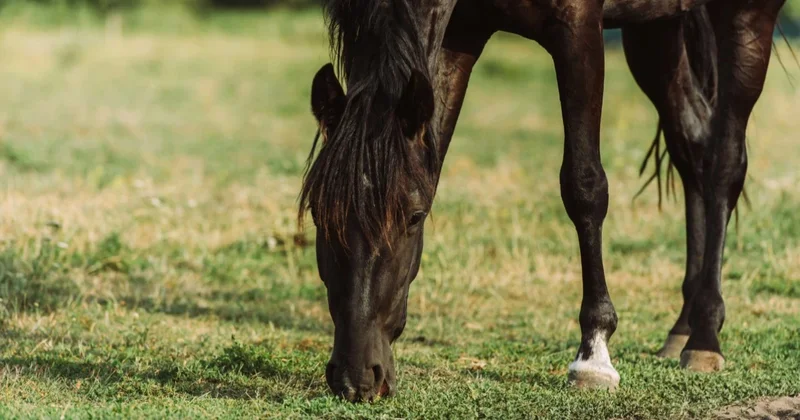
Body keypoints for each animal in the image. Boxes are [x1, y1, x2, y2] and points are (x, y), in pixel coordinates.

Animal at [299, 0, 786, 402]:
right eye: (319, 215)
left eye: (415, 217)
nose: (358, 377)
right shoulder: (462, 34)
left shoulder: (578, 29)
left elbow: (584, 186)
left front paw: (594, 354)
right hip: (656, 31)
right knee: (693, 146)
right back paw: (682, 328)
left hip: (746, 18)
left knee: (724, 163)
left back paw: (705, 336)